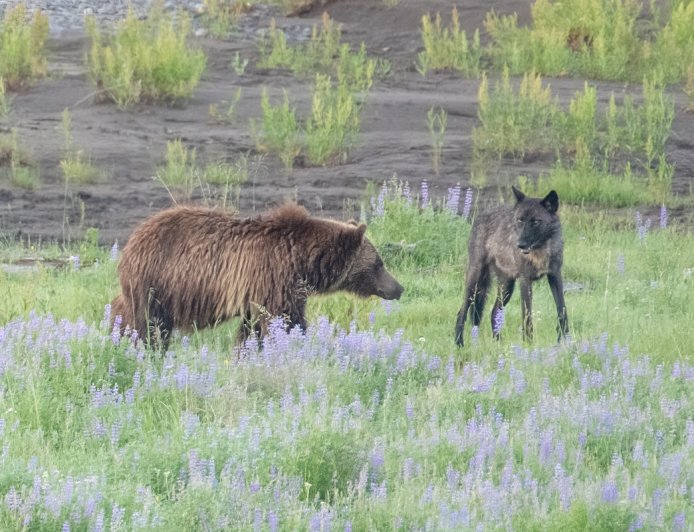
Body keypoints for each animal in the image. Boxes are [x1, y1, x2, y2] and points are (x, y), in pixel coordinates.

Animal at [111, 203, 404, 349]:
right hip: (158, 283)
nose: (398, 288)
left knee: (125, 311)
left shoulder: (261, 292)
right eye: (378, 263)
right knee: (149, 324)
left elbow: (253, 329)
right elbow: (286, 322)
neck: (303, 260)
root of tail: (132, 240)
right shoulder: (275, 279)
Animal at [454, 186, 568, 346]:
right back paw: (459, 344)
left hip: (507, 287)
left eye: (536, 221)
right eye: (520, 220)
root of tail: (482, 215)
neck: (540, 251)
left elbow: (562, 310)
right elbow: (527, 316)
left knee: (494, 312)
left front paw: (564, 340)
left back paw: (498, 344)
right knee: (462, 312)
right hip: (475, 281)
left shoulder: (555, 275)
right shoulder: (525, 280)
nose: (520, 244)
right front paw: (528, 345)